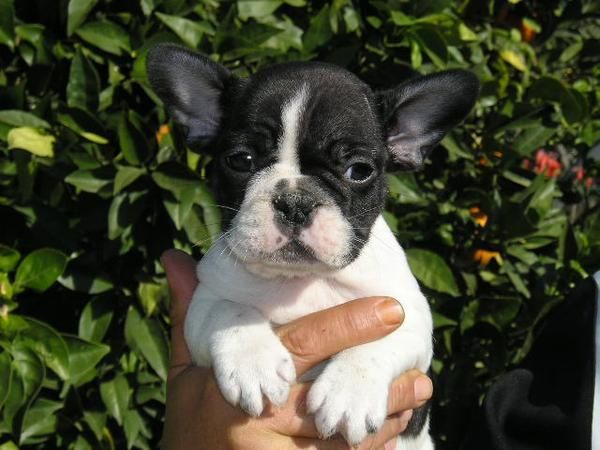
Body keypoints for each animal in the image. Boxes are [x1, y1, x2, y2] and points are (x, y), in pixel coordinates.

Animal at [146, 43, 478, 450]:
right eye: (240, 160)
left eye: (359, 170)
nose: (295, 201)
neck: (302, 280)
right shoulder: (205, 297)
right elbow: (227, 311)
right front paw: (252, 362)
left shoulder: (410, 314)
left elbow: (385, 337)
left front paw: (350, 391)